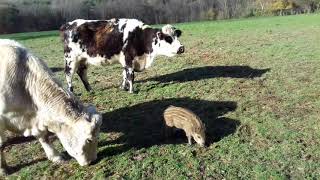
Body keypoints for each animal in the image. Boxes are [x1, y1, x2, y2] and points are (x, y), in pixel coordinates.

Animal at [0, 39, 101, 176]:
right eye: (89, 140)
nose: (93, 161)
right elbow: (1, 145)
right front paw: (3, 169)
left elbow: (43, 137)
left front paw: (55, 156)